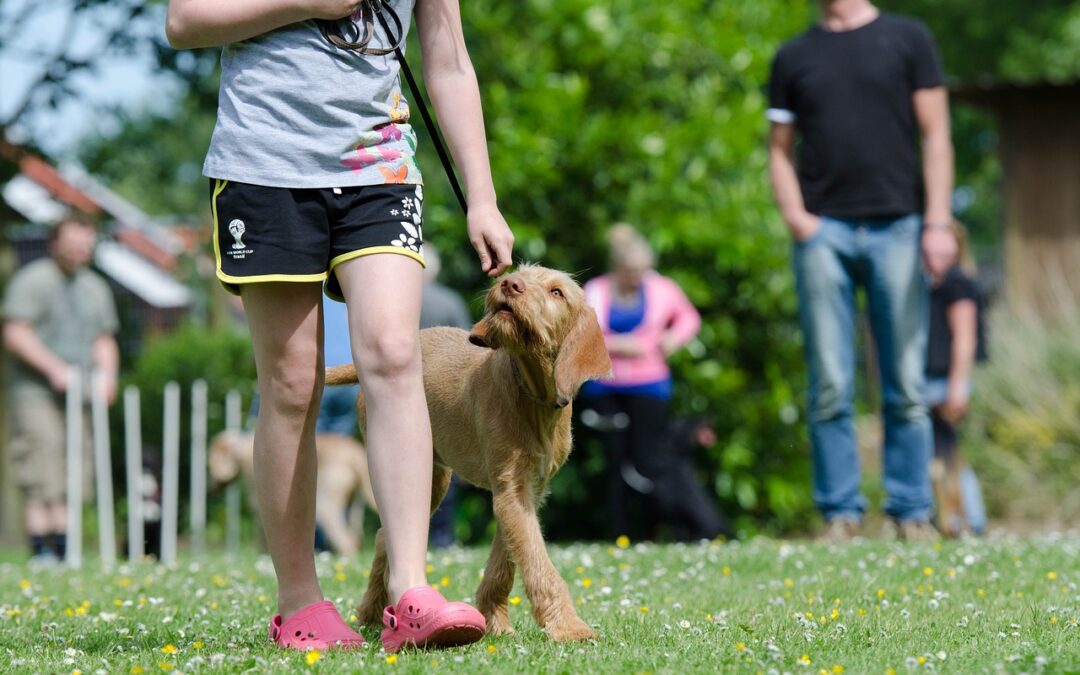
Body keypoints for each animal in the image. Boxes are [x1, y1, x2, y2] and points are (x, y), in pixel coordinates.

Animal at [207, 429, 380, 557]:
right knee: (355, 538)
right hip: (354, 506)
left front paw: (262, 557)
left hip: (326, 505)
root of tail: (355, 454)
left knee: (346, 541)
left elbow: (262, 538)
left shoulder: (258, 506)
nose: (211, 488)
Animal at [324, 263, 613, 643]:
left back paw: (374, 612)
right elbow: (538, 561)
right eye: (520, 274)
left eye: (556, 292)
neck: (532, 395)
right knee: (385, 535)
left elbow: (506, 560)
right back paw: (373, 613)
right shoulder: (511, 490)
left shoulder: (525, 492)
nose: (509, 283)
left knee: (386, 535)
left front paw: (494, 620)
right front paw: (569, 626)